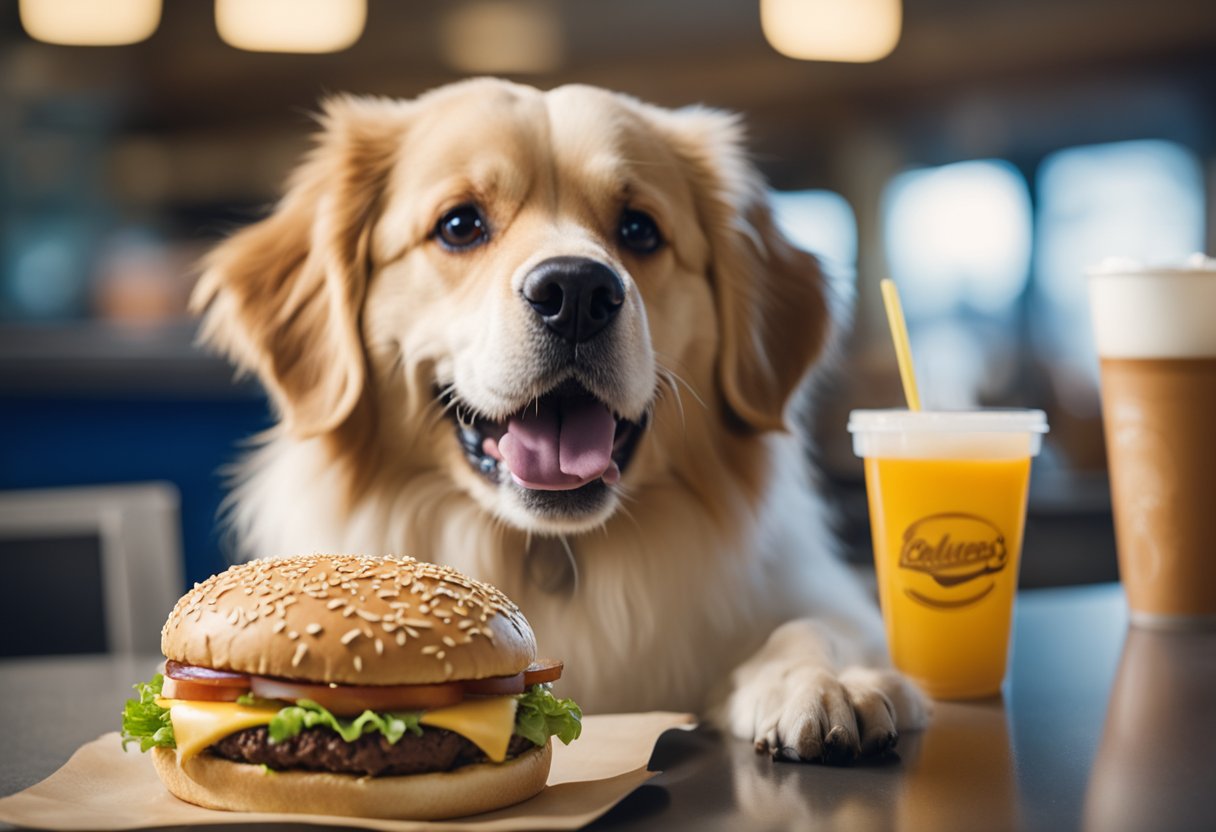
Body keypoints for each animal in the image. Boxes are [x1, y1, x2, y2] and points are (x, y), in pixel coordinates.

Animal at [194, 77, 924, 759]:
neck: (549, 555)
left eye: (639, 229)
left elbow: (811, 626)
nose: (576, 291)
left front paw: (825, 681)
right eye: (459, 225)